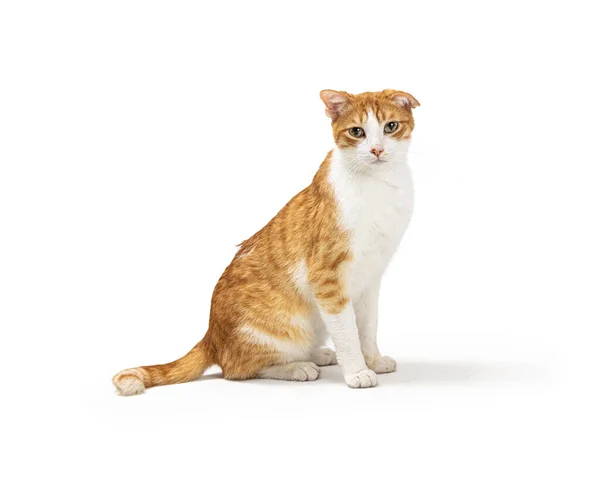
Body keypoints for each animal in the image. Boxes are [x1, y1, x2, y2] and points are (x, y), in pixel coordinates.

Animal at [112, 88, 418, 396]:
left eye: (390, 126)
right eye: (357, 132)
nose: (376, 150)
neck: (380, 187)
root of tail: (211, 336)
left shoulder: (370, 278)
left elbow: (366, 328)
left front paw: (373, 360)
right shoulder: (327, 279)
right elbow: (347, 334)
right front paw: (356, 371)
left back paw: (317, 353)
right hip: (278, 333)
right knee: (237, 369)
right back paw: (297, 367)